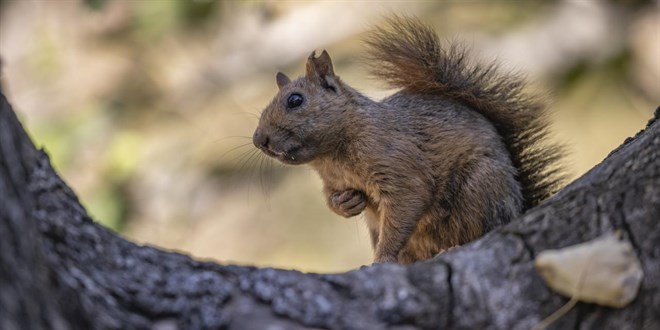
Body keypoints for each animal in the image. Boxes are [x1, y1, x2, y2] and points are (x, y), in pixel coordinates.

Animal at [251, 16, 564, 266]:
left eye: (295, 100)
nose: (258, 139)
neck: (332, 157)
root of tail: (520, 203)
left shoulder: (398, 165)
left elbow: (407, 202)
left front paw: (382, 260)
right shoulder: (333, 181)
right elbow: (332, 198)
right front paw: (345, 203)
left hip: (480, 189)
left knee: (480, 230)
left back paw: (451, 248)